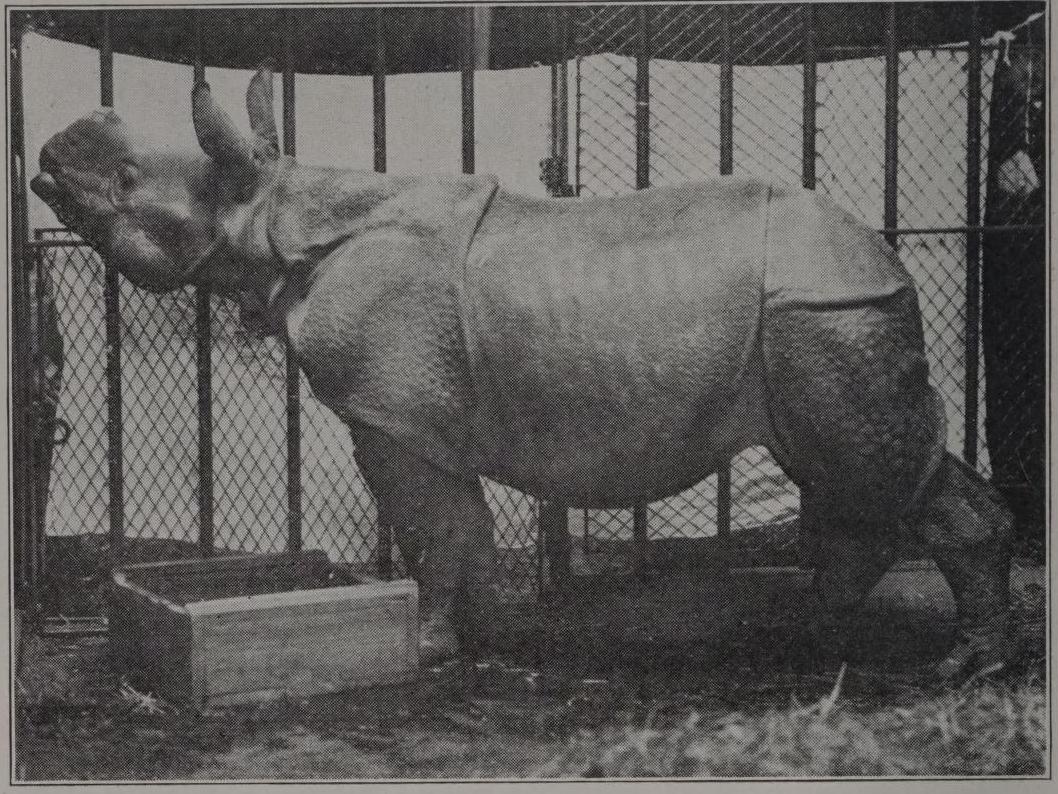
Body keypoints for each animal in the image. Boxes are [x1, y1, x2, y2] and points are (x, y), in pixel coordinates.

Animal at [31, 67, 1012, 681]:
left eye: (128, 177)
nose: (48, 151)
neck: (268, 209)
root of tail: (877, 249)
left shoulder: (390, 414)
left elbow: (429, 531)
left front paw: (427, 648)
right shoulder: (423, 417)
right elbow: (461, 529)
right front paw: (477, 637)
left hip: (823, 309)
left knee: (858, 463)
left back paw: (898, 649)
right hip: (831, 311)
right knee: (877, 461)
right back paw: (891, 640)